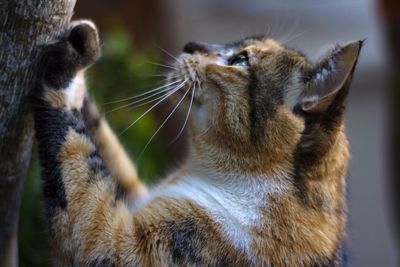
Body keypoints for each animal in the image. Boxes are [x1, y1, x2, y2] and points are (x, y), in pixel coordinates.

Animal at [32, 19, 360, 266]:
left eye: (241, 60)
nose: (191, 44)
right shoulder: (136, 195)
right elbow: (104, 147)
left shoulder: (118, 243)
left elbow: (74, 158)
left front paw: (74, 55)